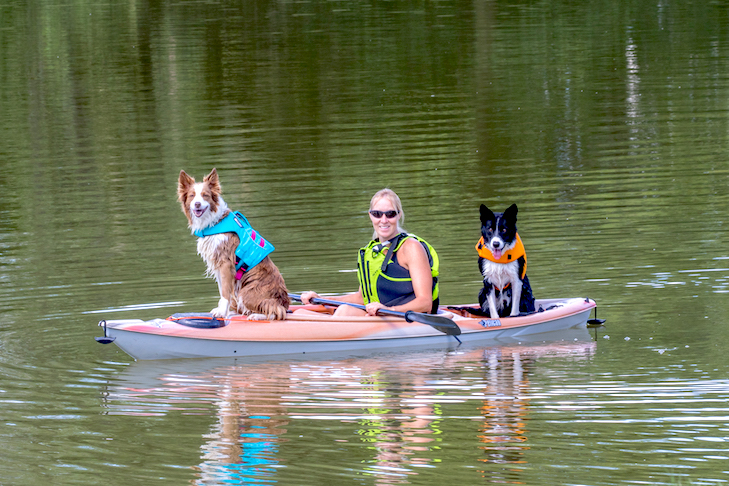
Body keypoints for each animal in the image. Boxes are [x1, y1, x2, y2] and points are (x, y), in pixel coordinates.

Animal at [178, 169, 288, 320]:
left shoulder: (226, 262)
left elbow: (224, 291)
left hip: (247, 292)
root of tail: (284, 301)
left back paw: (256, 316)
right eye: (192, 196)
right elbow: (222, 290)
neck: (214, 223)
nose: (197, 204)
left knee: (276, 311)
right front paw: (223, 311)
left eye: (205, 195)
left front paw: (221, 312)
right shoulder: (217, 263)